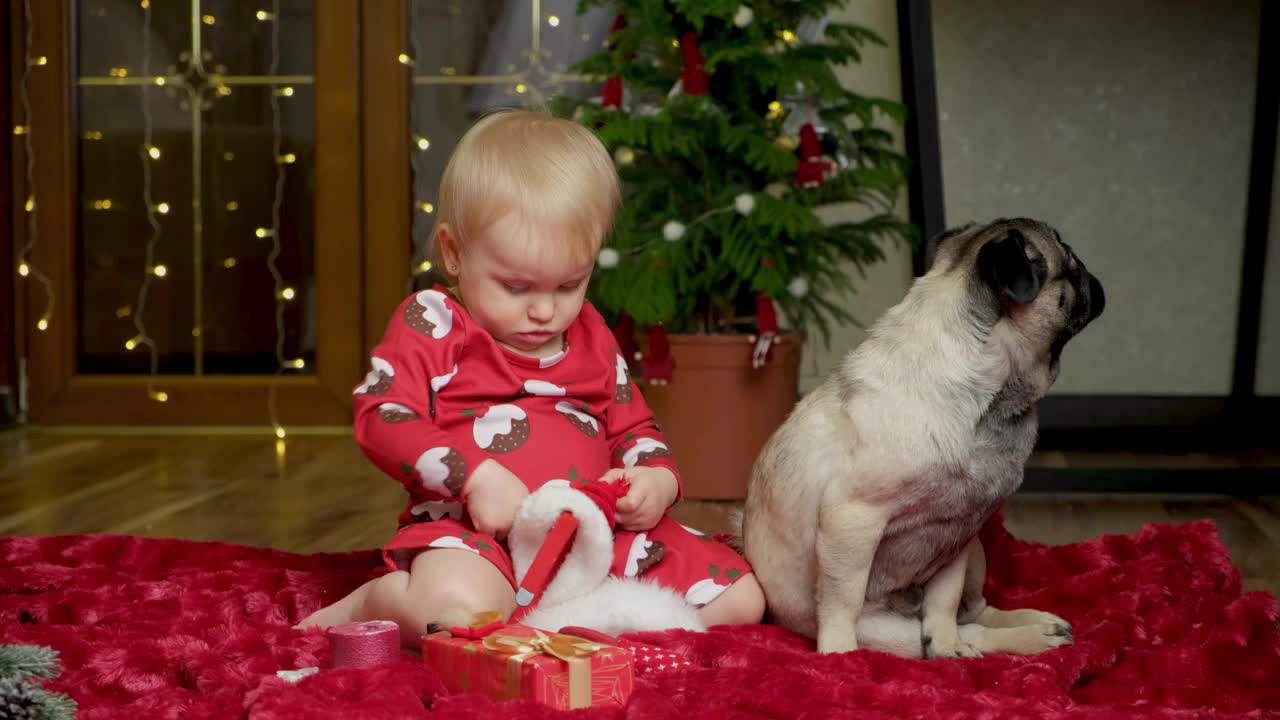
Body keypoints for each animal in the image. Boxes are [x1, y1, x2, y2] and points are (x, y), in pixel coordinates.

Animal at [747, 215, 1105, 653]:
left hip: (978, 553)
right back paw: (1031, 638)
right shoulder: (850, 518)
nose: (1090, 274)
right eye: (1069, 262)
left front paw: (946, 641)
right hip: (886, 629)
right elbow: (843, 601)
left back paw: (1024, 627)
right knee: (968, 629)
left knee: (976, 611)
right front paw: (839, 653)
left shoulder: (960, 532)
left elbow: (944, 597)